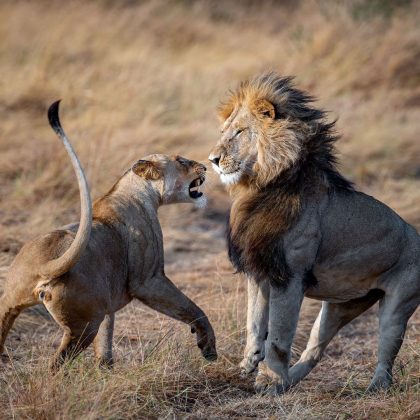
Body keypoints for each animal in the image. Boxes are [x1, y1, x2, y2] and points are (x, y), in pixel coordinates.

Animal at [0, 101, 217, 368]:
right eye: (181, 161)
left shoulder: (106, 304)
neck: (137, 193)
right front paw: (208, 347)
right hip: (84, 325)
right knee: (55, 365)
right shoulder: (149, 281)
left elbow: (105, 342)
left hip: (9, 305)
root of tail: (44, 265)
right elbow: (191, 308)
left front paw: (104, 370)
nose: (205, 165)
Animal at [210, 73, 420, 394]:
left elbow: (278, 335)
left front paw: (270, 382)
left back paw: (375, 386)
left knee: (386, 353)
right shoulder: (259, 271)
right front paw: (248, 367)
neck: (260, 185)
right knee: (315, 350)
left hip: (398, 306)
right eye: (224, 132)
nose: (212, 159)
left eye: (240, 132)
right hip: (338, 307)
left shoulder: (289, 276)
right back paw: (291, 380)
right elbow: (254, 323)